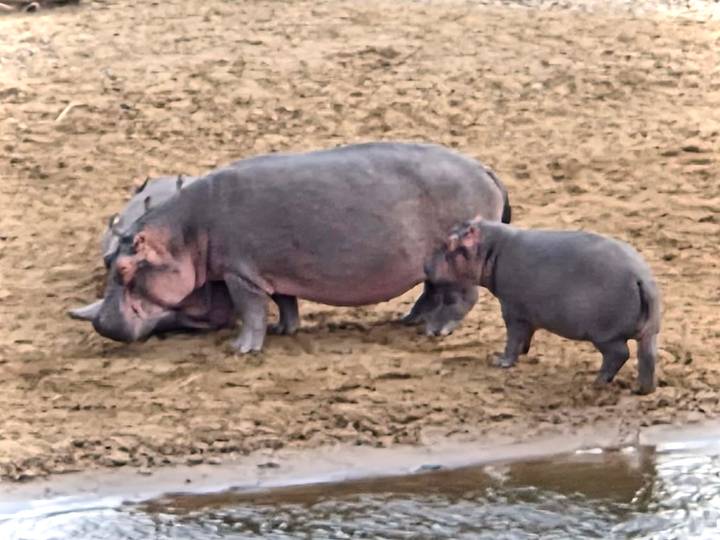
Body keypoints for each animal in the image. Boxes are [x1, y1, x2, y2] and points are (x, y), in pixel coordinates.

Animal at [90, 142, 511, 352]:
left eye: (125, 268)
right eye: (108, 260)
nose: (102, 324)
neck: (183, 232)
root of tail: (485, 168)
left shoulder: (240, 274)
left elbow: (252, 311)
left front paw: (241, 349)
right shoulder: (272, 271)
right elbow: (285, 302)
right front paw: (284, 331)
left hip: (456, 263)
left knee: (462, 298)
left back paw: (436, 331)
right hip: (430, 263)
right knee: (430, 292)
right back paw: (410, 321)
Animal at [424, 218, 660, 395]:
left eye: (450, 244)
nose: (425, 265)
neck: (491, 248)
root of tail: (640, 278)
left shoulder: (512, 310)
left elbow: (513, 338)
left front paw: (500, 361)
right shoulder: (528, 314)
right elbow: (525, 336)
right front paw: (523, 352)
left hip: (605, 335)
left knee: (619, 355)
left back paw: (596, 382)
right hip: (649, 332)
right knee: (647, 357)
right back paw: (641, 390)